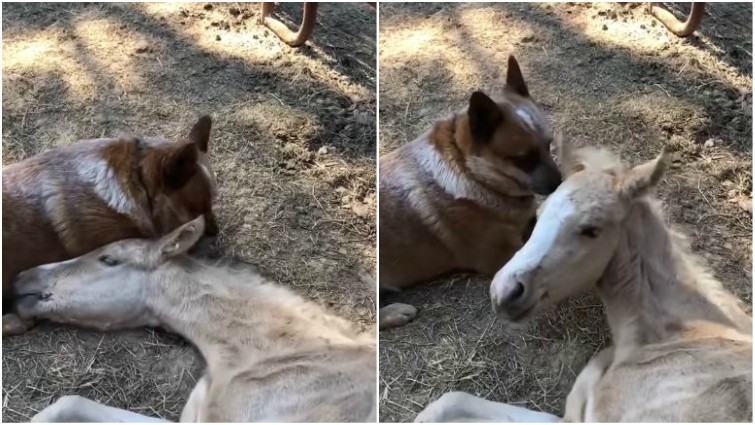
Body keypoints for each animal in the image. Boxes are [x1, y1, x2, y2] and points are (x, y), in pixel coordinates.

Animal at [380, 56, 564, 328]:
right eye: (523, 159)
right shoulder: (503, 255)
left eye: (549, 144)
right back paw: (396, 312)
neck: (472, 173)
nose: (560, 182)